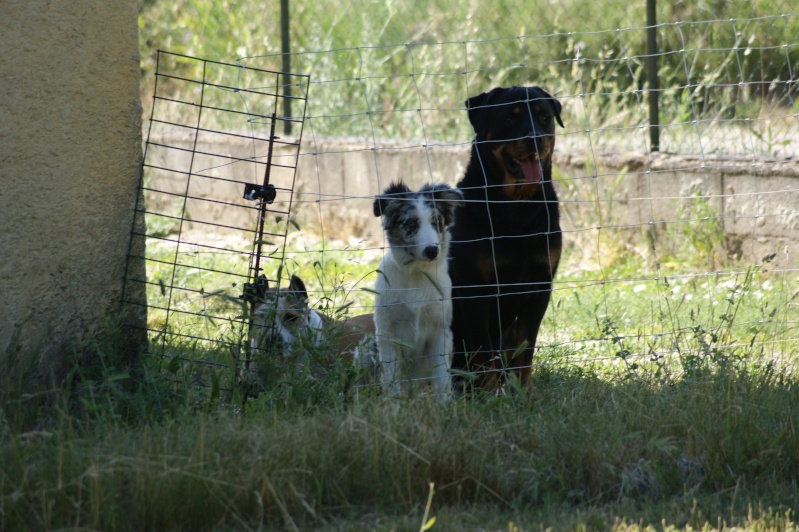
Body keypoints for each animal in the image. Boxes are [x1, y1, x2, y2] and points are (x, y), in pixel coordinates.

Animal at [374, 182, 466, 400]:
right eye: (411, 223)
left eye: (436, 222)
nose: (432, 251)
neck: (416, 273)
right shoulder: (387, 332)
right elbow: (392, 379)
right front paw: (394, 406)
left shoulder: (440, 331)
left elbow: (442, 378)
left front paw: (444, 405)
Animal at [450, 86, 568, 394]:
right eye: (509, 119)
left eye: (543, 117)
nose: (536, 137)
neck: (517, 206)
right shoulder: (477, 288)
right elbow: (483, 350)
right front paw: (492, 394)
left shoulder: (540, 283)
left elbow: (526, 346)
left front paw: (523, 391)